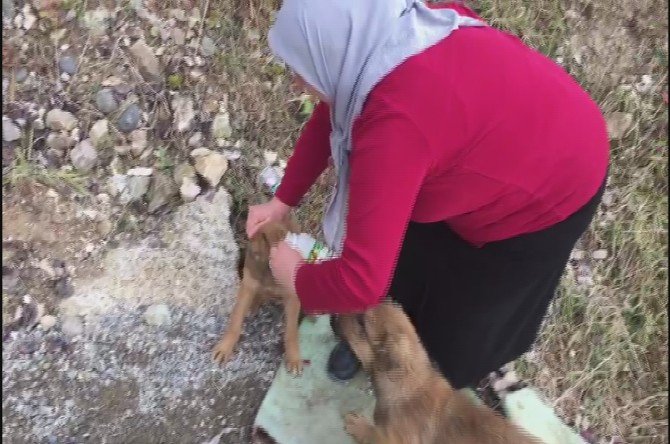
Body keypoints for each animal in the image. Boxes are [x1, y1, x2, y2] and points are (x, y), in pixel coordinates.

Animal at [213, 219, 304, 374]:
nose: (247, 250)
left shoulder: (292, 297)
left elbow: (291, 332)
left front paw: (294, 358)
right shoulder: (248, 286)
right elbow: (235, 321)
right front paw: (224, 348)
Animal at [338, 302, 540, 444]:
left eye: (361, 322)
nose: (336, 310)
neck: (408, 385)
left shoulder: (392, 439)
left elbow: (373, 434)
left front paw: (358, 425)